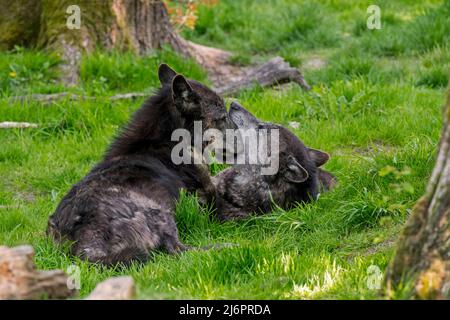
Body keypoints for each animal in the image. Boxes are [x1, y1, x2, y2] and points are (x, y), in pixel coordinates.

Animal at [47, 63, 236, 266]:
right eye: (223, 117)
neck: (165, 142)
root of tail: (85, 242)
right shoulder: (209, 196)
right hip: (160, 213)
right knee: (177, 250)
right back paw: (226, 247)